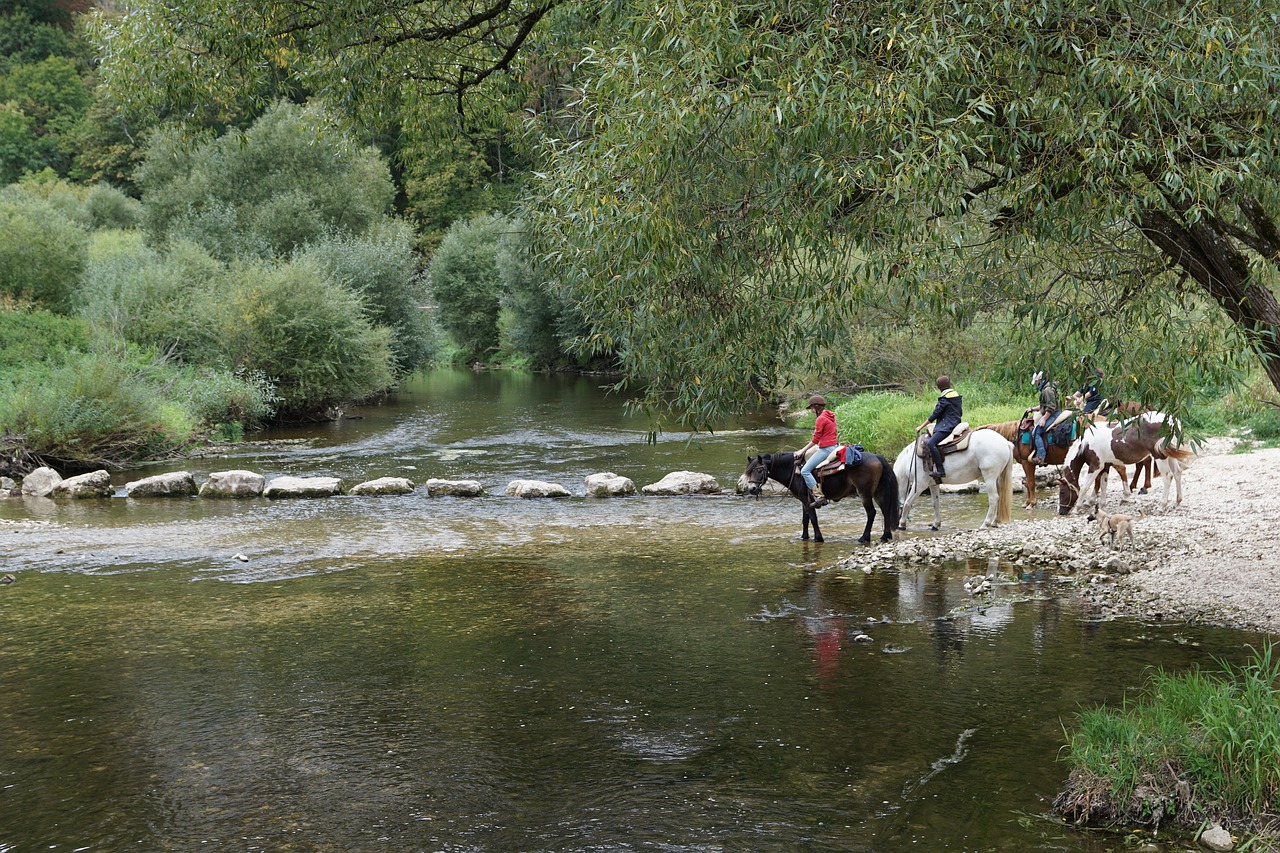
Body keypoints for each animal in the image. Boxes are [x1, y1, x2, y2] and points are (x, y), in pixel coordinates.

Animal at [742, 448, 901, 540]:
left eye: (759, 470)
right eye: (748, 471)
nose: (752, 489)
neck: (793, 470)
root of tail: (878, 457)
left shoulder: (807, 499)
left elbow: (813, 518)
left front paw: (818, 538)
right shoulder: (803, 499)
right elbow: (805, 519)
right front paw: (804, 537)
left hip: (865, 494)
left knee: (872, 513)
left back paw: (864, 537)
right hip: (878, 493)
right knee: (885, 511)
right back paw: (885, 536)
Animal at [1054, 409, 1192, 514]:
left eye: (1062, 492)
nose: (1061, 512)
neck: (1086, 444)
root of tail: (1173, 421)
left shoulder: (1095, 466)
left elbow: (1085, 487)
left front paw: (1077, 509)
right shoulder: (1105, 466)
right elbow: (1103, 485)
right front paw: (1102, 506)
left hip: (1159, 456)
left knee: (1168, 477)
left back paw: (1161, 506)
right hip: (1169, 455)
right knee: (1177, 473)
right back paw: (1177, 501)